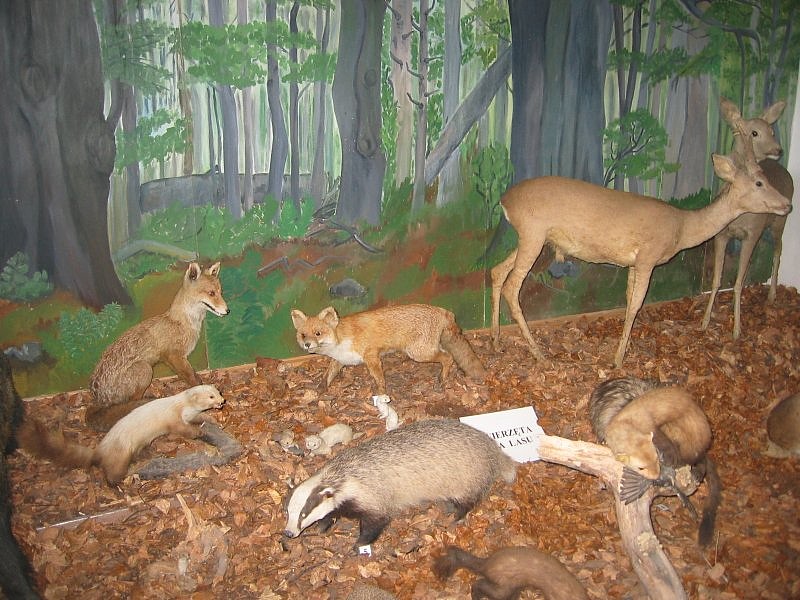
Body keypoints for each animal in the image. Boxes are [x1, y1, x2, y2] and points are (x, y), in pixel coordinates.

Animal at [86, 262, 229, 431]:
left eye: (220, 292)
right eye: (211, 293)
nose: (227, 310)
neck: (182, 323)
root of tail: (97, 396)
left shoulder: (172, 359)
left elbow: (192, 375)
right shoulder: (174, 356)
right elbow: (191, 378)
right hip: (145, 369)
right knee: (131, 401)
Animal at [291, 304, 486, 394]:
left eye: (317, 333)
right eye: (303, 335)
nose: (307, 345)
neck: (341, 339)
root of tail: (443, 311)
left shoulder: (371, 355)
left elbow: (379, 378)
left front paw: (381, 394)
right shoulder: (341, 360)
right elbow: (327, 375)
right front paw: (320, 389)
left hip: (419, 353)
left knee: (449, 358)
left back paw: (443, 379)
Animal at [490, 121, 792, 369]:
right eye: (759, 182)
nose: (787, 204)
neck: (683, 228)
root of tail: (506, 201)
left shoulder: (633, 263)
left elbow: (627, 300)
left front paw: (625, 346)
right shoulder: (648, 257)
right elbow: (637, 304)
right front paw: (618, 360)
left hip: (531, 238)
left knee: (496, 271)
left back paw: (495, 338)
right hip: (533, 233)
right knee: (512, 287)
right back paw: (538, 353)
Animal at [700, 98, 794, 339]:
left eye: (772, 130)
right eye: (754, 132)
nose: (778, 149)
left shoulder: (751, 233)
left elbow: (737, 283)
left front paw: (736, 329)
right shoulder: (722, 234)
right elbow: (717, 279)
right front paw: (704, 321)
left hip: (778, 224)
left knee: (778, 250)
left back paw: (772, 295)